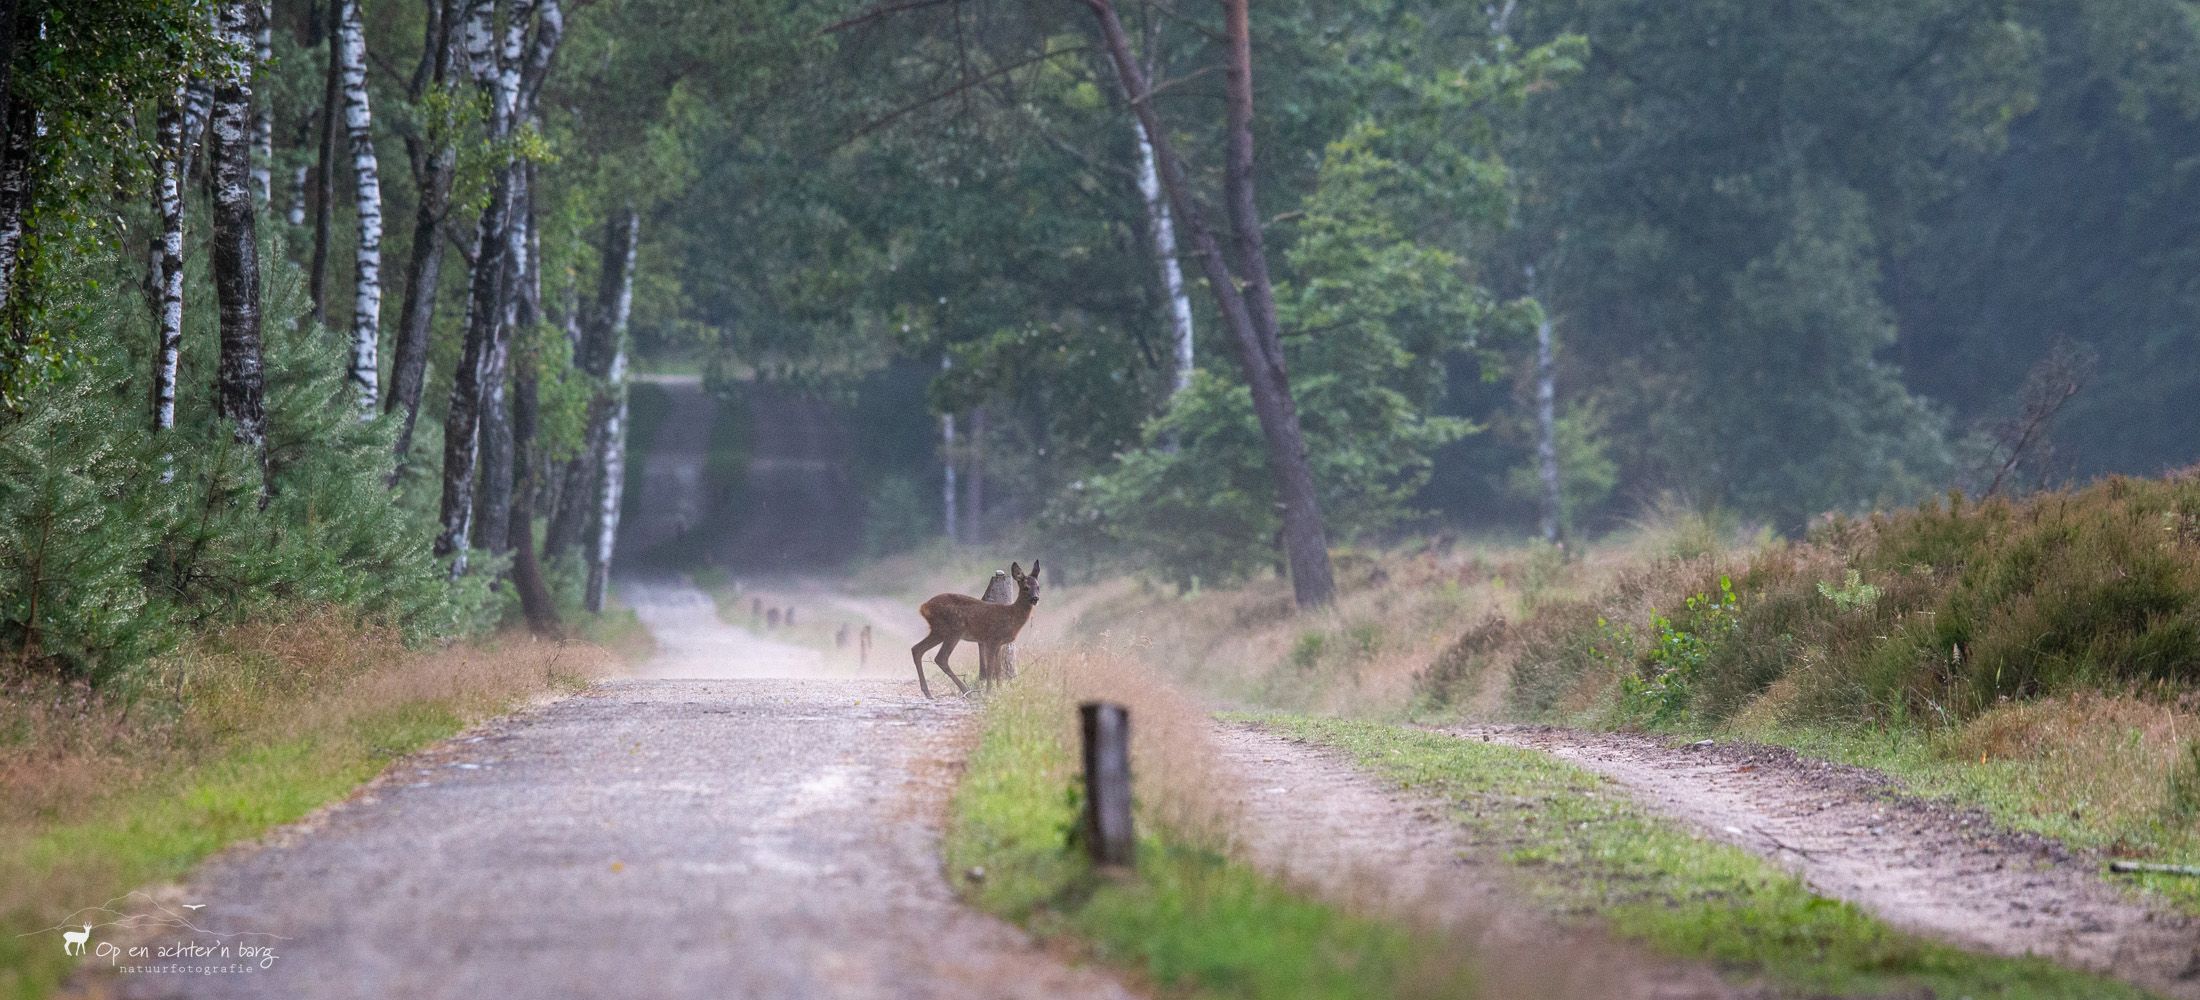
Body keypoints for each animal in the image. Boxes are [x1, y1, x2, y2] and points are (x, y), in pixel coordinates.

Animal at [915, 560, 1042, 698]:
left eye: (1038, 587)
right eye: (1026, 587)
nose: (1035, 598)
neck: (1011, 616)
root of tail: (923, 607)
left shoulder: (999, 643)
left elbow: (998, 669)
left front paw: (1000, 691)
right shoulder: (991, 639)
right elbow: (990, 668)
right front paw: (989, 692)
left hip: (939, 631)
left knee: (917, 649)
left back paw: (927, 692)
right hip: (953, 630)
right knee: (940, 658)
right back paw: (966, 691)